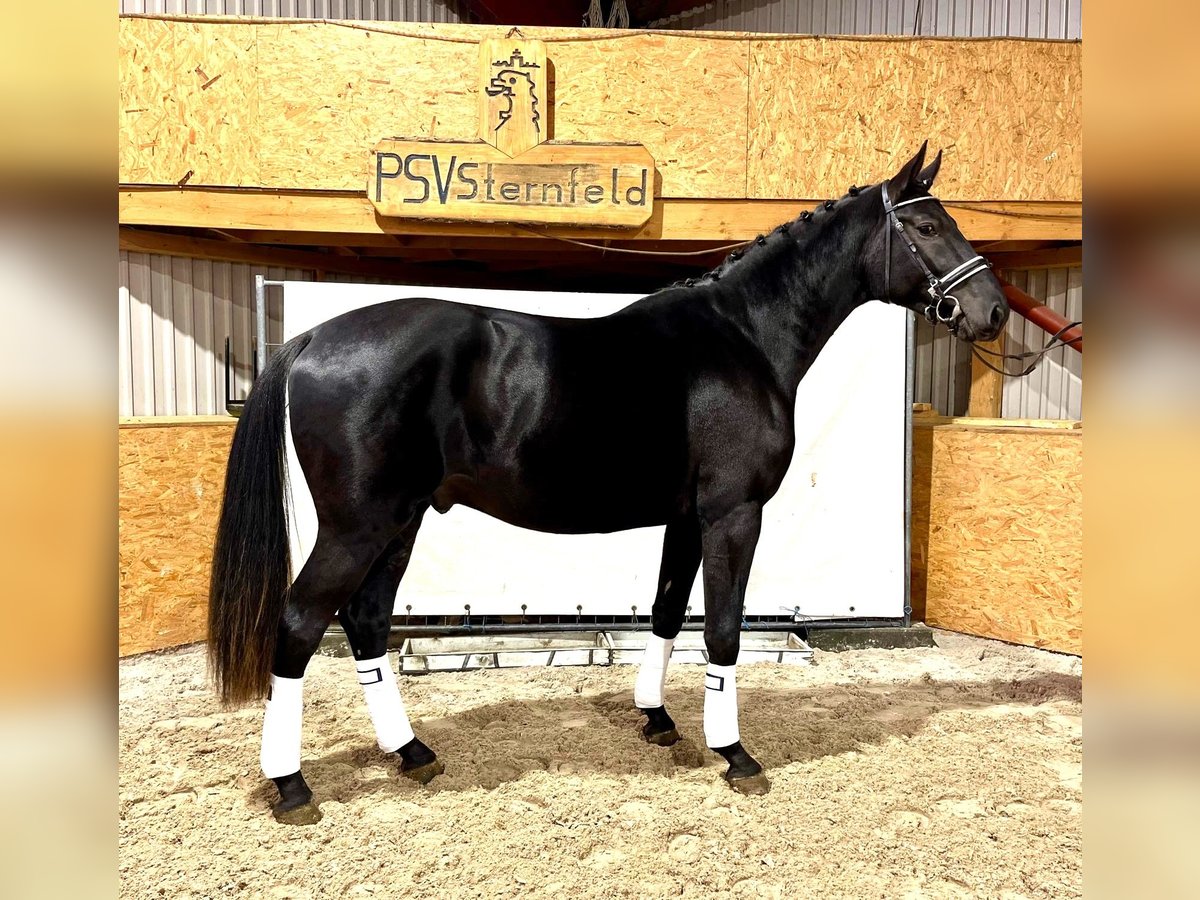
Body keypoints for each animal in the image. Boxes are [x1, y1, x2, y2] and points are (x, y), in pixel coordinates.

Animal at [211, 146, 1008, 825]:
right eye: (929, 226)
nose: (993, 311)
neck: (743, 338)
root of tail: (312, 341)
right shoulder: (732, 513)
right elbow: (722, 630)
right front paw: (735, 755)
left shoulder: (686, 518)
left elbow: (665, 613)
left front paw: (658, 719)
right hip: (358, 525)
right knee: (300, 623)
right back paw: (292, 785)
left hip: (401, 520)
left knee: (367, 621)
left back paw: (411, 753)